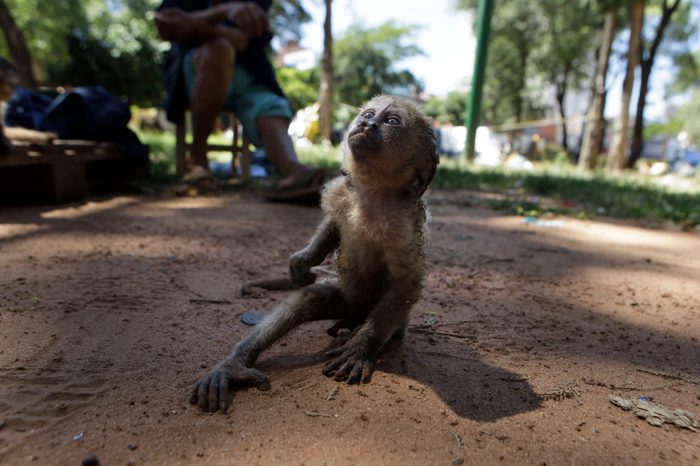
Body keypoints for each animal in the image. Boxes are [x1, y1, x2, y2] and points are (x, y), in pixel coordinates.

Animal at [189, 94, 434, 412]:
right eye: (369, 114)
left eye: (391, 121)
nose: (367, 124)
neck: (372, 194)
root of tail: (356, 312)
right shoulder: (342, 192)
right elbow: (332, 226)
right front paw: (304, 259)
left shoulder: (403, 223)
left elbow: (407, 283)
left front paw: (362, 347)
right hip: (348, 301)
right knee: (310, 298)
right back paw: (235, 364)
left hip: (385, 316)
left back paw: (359, 333)